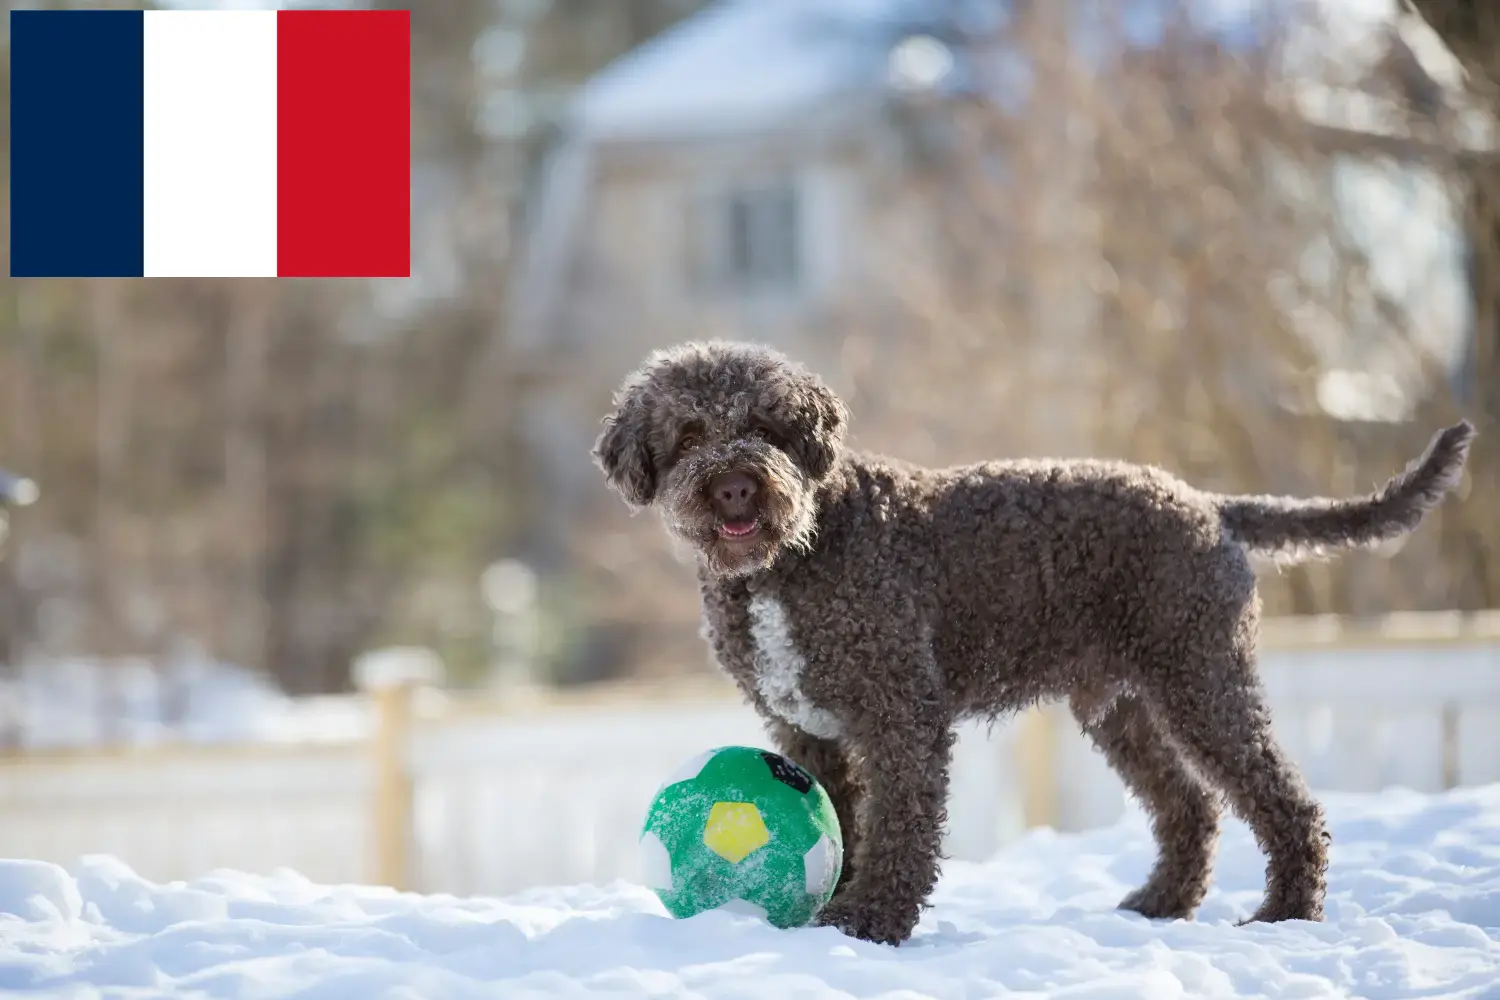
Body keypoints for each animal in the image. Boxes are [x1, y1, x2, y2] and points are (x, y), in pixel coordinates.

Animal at [588, 340, 1476, 941]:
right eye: (688, 432)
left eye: (770, 425)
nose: (737, 484)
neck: (795, 553)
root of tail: (1212, 508)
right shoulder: (809, 731)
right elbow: (840, 821)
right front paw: (832, 908)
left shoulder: (899, 715)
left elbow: (900, 828)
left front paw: (871, 921)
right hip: (1124, 707)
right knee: (1190, 807)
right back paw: (1162, 904)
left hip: (1202, 681)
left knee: (1287, 804)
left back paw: (1286, 911)